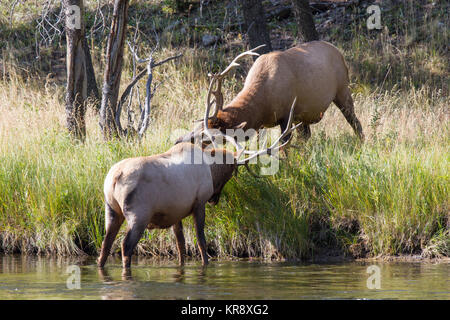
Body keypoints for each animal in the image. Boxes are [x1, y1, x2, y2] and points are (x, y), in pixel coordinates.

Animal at [96, 99, 300, 270]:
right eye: (231, 172)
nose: (214, 199)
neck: (210, 167)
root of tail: (113, 179)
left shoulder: (175, 212)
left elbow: (181, 245)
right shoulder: (199, 202)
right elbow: (201, 241)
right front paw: (206, 264)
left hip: (111, 209)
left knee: (105, 245)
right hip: (138, 213)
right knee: (125, 246)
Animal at [177, 40, 366, 144]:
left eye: (207, 134)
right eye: (199, 126)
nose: (178, 139)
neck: (262, 106)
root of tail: (338, 52)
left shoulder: (286, 115)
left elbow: (283, 147)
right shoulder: (262, 124)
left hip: (343, 91)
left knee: (356, 123)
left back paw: (362, 144)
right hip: (304, 115)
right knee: (307, 136)